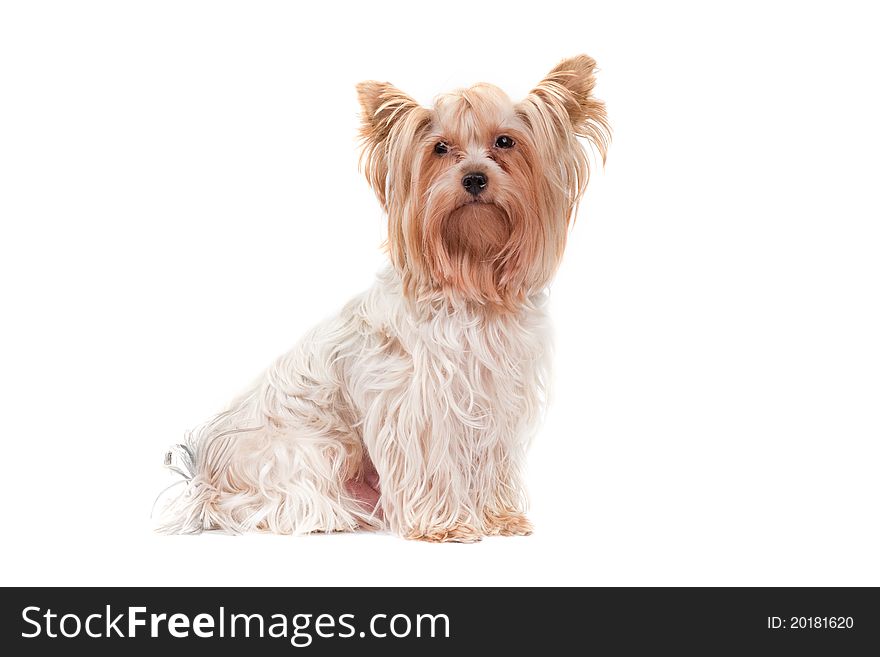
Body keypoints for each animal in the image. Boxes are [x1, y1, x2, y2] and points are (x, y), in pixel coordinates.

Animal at [158, 55, 608, 540]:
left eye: (504, 142)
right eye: (440, 148)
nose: (474, 178)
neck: (471, 278)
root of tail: (206, 481)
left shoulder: (494, 398)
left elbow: (488, 459)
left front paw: (496, 517)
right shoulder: (418, 405)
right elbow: (430, 462)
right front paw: (446, 524)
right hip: (311, 449)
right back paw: (336, 515)